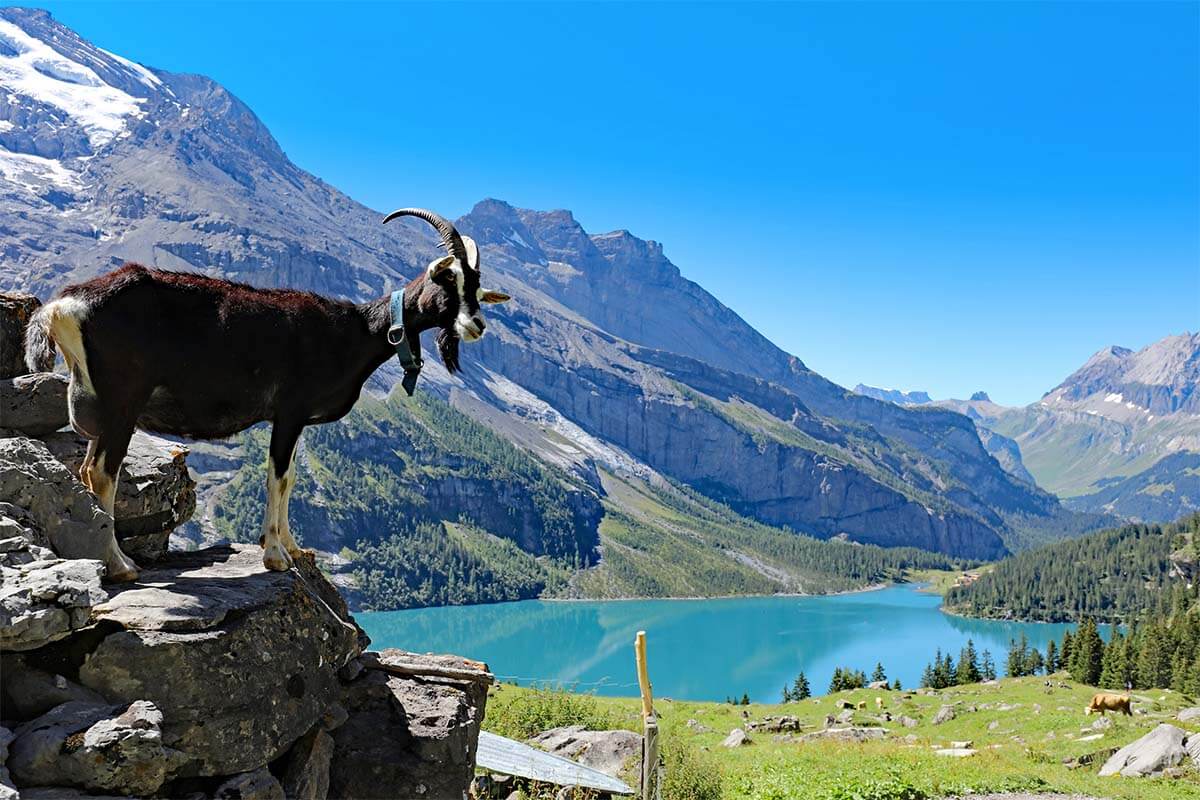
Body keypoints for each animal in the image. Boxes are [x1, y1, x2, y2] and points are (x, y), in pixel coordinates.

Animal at [27, 208, 506, 582]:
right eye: (447, 281)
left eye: (478, 289)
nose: (477, 326)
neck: (350, 332)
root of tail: (62, 306)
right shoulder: (289, 411)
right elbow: (276, 476)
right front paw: (274, 556)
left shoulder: (296, 420)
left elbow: (291, 477)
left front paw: (293, 548)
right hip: (122, 402)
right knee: (102, 473)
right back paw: (119, 565)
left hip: (104, 410)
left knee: (88, 468)